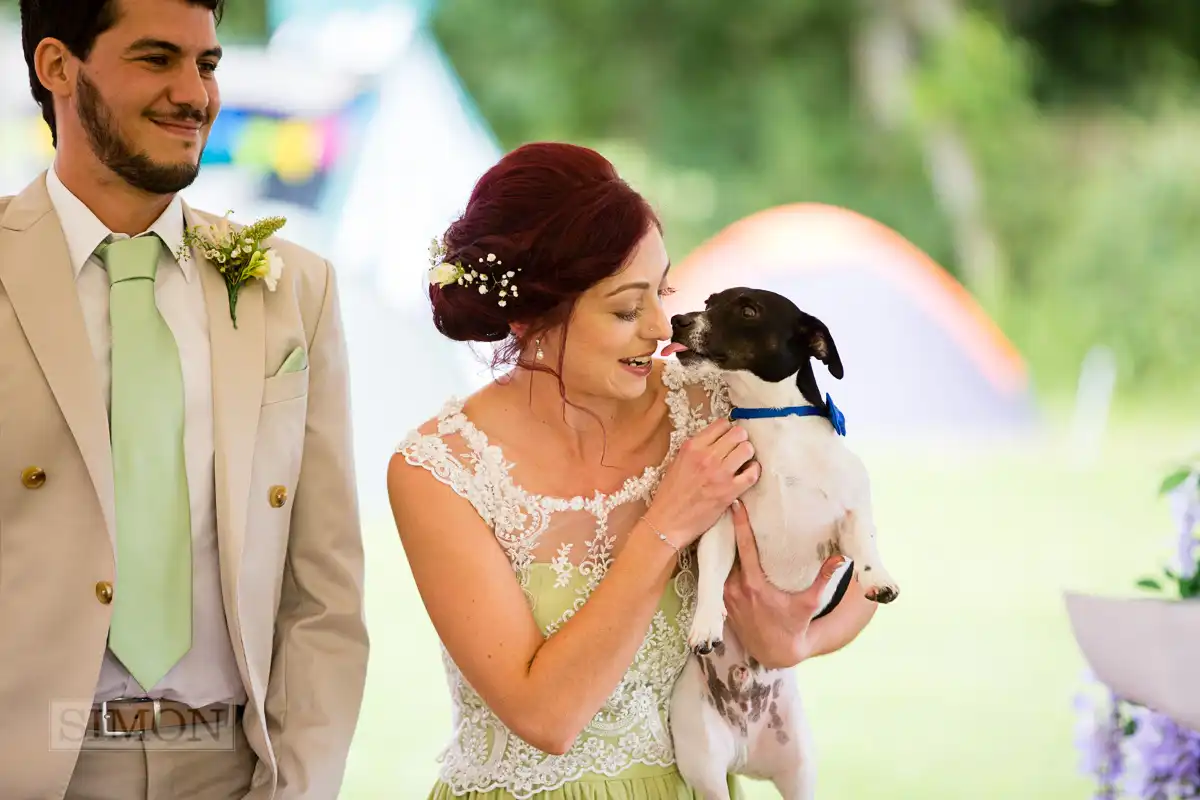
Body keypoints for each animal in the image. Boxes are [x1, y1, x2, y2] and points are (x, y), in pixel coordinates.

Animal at [662, 287, 897, 800]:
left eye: (749, 310)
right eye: (708, 302)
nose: (677, 320)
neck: (774, 420)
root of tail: (746, 750)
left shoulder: (846, 517)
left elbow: (865, 538)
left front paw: (879, 578)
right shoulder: (722, 523)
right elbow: (712, 576)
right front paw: (706, 624)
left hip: (800, 770)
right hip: (706, 766)